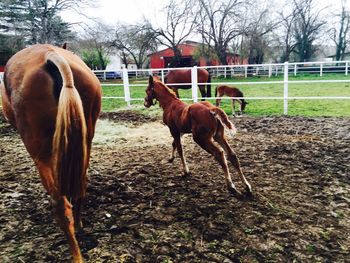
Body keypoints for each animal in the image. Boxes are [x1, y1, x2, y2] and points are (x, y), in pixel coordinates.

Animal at [0, 44, 101, 262]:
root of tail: (51, 55)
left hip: (41, 155)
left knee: (60, 205)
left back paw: (76, 255)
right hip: (85, 144)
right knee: (80, 186)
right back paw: (78, 226)